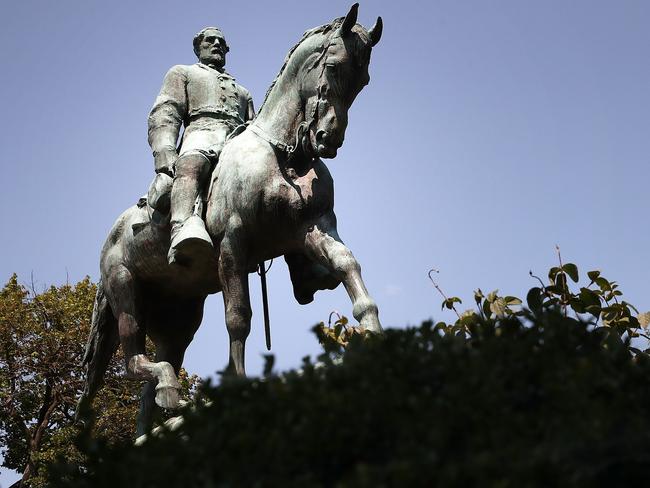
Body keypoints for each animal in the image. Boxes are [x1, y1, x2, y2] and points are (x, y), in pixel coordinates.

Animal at [77, 3, 380, 434]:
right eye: (334, 66)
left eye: (364, 79)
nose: (327, 139)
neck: (280, 155)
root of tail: (111, 237)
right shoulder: (234, 245)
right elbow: (239, 318)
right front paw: (238, 386)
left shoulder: (315, 227)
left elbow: (347, 265)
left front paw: (372, 330)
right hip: (125, 292)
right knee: (134, 361)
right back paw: (169, 392)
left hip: (180, 315)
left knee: (150, 383)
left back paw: (157, 419)